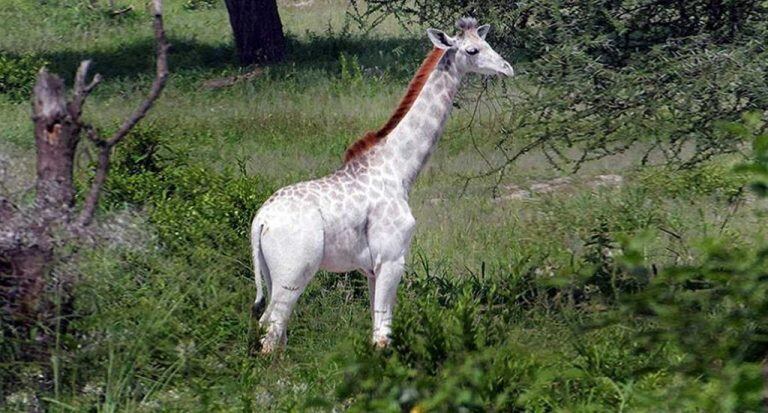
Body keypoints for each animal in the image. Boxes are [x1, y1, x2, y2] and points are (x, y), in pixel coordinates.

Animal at [254, 16, 516, 350]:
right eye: (472, 50)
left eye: (487, 42)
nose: (507, 68)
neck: (398, 169)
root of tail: (260, 221)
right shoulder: (392, 258)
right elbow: (382, 335)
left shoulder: (370, 268)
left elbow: (377, 326)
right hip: (294, 272)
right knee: (272, 328)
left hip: (271, 274)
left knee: (272, 330)